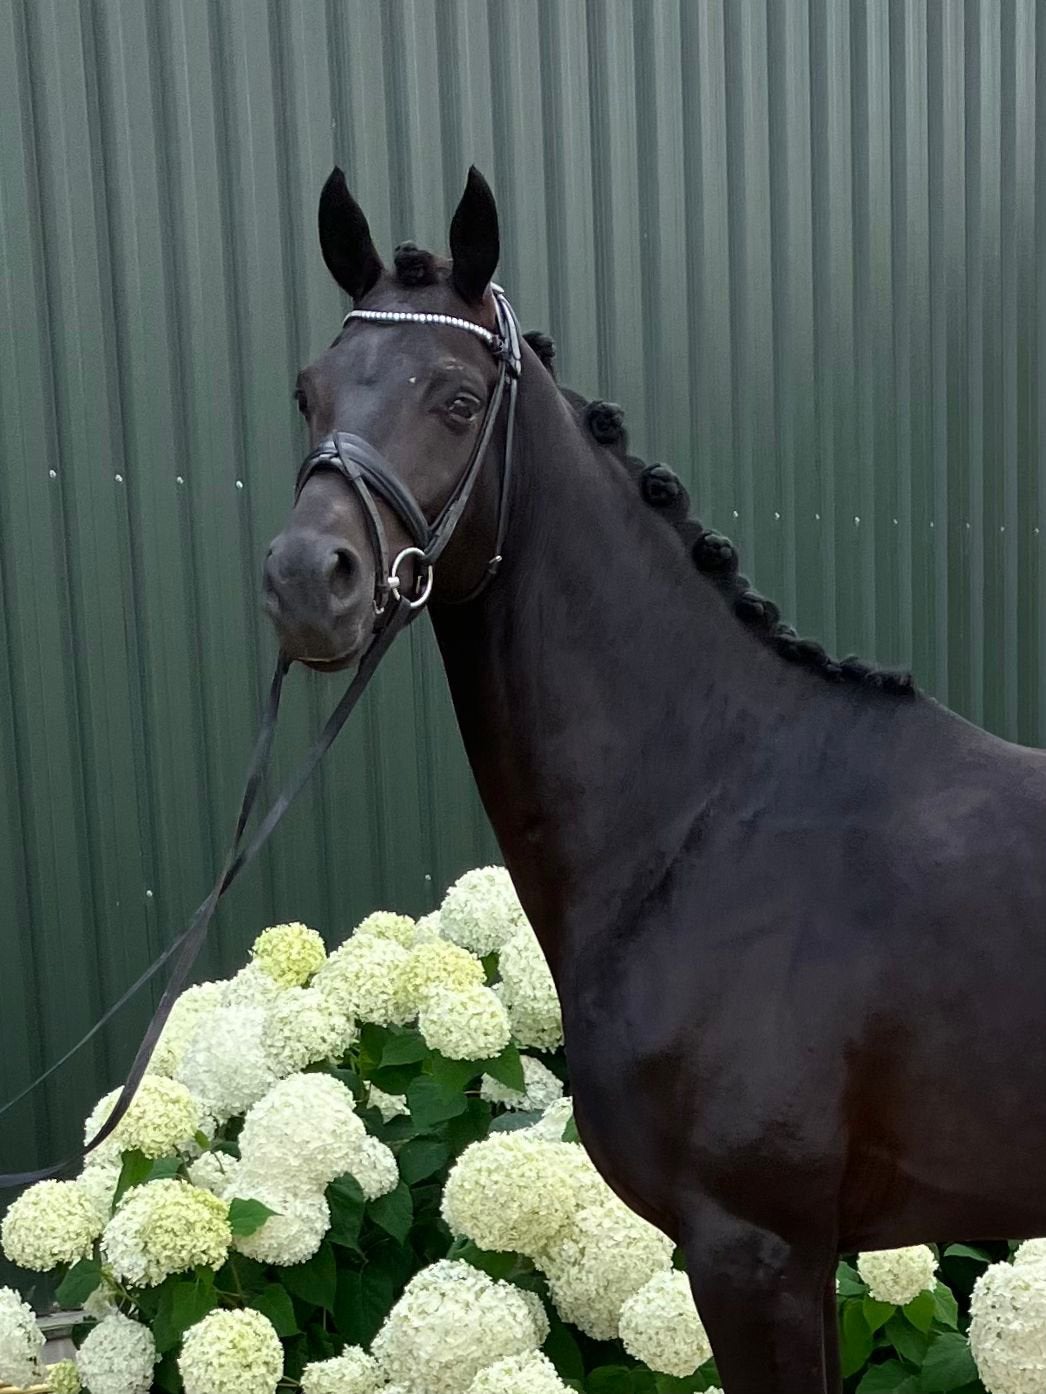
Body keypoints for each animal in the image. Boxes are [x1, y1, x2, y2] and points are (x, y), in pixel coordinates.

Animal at [262, 166, 1046, 1394]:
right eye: (308, 390)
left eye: (456, 400)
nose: (308, 581)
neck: (708, 824)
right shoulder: (797, 1257)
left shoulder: (752, 1251)